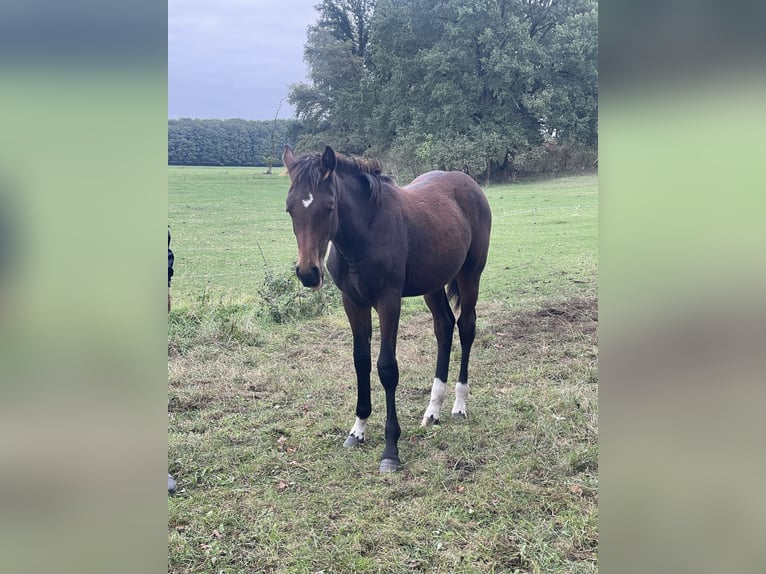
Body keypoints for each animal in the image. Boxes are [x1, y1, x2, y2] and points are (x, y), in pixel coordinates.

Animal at [282, 146, 492, 474]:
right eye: (290, 208)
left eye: (329, 207)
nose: (308, 273)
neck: (362, 237)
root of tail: (468, 182)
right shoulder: (353, 302)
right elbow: (361, 361)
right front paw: (357, 430)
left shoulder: (388, 301)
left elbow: (387, 367)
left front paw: (391, 448)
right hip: (432, 285)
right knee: (444, 327)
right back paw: (433, 410)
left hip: (470, 275)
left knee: (466, 327)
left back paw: (459, 405)